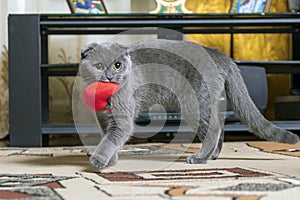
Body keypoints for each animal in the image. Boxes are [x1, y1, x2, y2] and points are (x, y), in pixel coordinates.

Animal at [78, 38, 298, 168]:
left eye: (118, 65)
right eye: (99, 66)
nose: (109, 76)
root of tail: (218, 53)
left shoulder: (122, 119)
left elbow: (110, 139)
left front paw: (98, 161)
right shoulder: (104, 119)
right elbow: (108, 139)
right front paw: (111, 160)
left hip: (194, 103)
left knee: (213, 128)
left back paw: (200, 158)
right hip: (207, 101)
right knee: (219, 124)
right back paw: (213, 155)